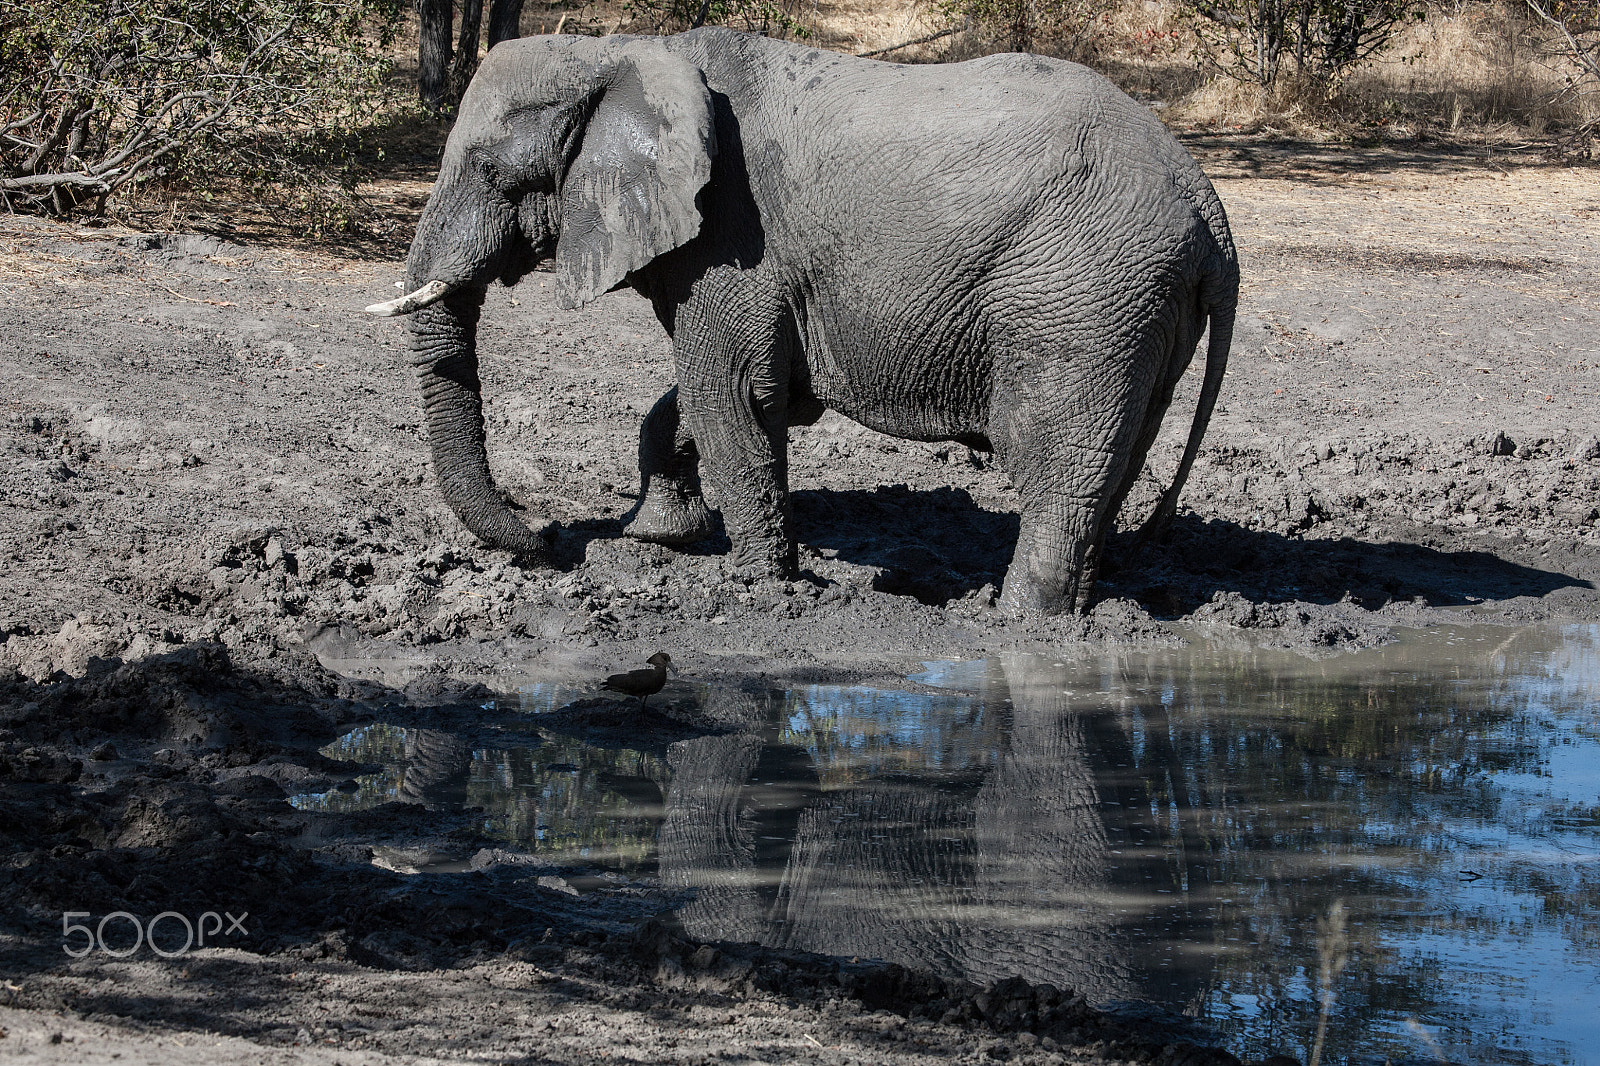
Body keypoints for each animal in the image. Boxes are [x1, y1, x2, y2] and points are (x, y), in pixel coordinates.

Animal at [368, 27, 1239, 614]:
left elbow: (732, 394)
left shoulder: (734, 238)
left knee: (1056, 462)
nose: (550, 538)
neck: (624, 54)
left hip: (1083, 299)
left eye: (492, 172)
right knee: (1112, 462)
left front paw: (758, 586)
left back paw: (1018, 621)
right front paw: (659, 537)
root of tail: (1211, 213)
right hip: (1139, 311)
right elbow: (730, 396)